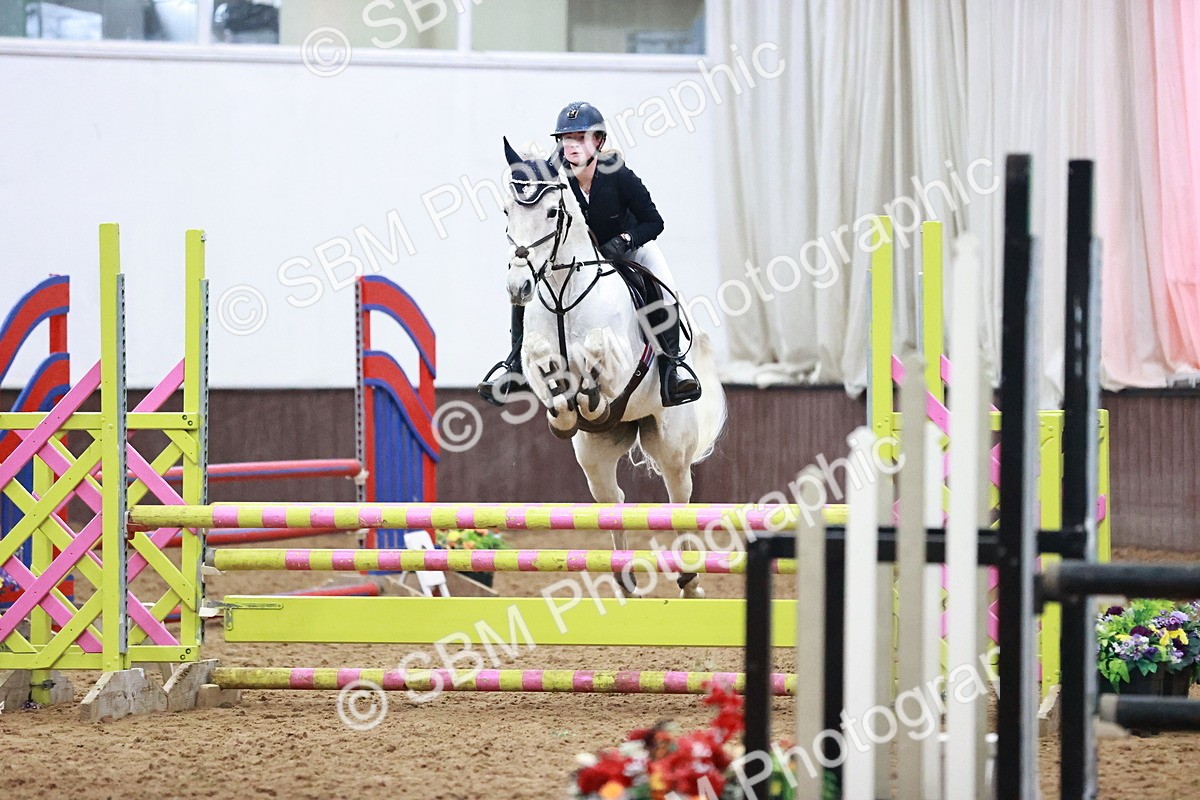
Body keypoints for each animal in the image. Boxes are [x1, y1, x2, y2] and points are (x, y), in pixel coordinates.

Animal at [499, 138, 727, 598]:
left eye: (551, 212)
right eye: (507, 212)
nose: (518, 287)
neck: (564, 294)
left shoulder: (622, 362)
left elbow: (597, 349)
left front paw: (589, 394)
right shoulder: (534, 362)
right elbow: (542, 364)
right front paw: (566, 411)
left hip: (671, 444)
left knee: (678, 500)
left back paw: (690, 582)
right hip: (594, 456)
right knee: (614, 502)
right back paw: (624, 578)